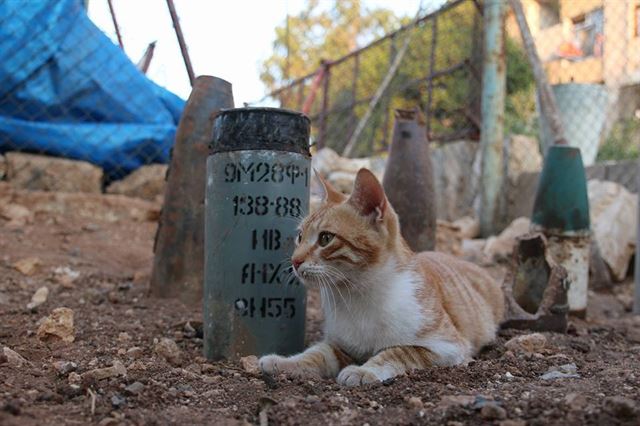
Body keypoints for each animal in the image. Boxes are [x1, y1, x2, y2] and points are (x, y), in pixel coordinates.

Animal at [258, 168, 502, 384]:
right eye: (300, 236)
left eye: (325, 238)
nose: (294, 261)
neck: (357, 295)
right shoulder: (339, 345)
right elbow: (316, 353)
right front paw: (283, 362)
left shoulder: (448, 347)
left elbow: (399, 351)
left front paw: (364, 371)